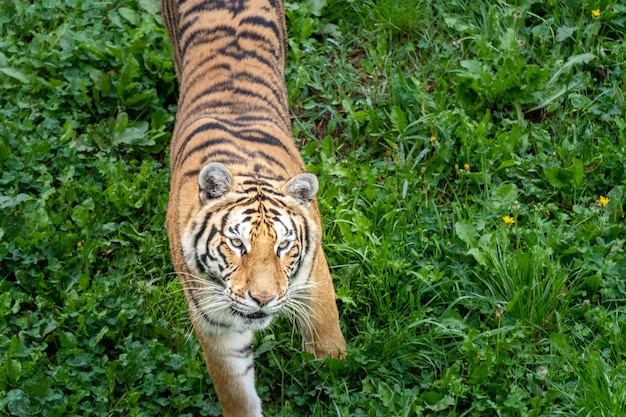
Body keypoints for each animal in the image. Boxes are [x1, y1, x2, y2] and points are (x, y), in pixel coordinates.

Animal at [160, 0, 346, 414]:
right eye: (237, 244)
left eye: (283, 246)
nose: (262, 300)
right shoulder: (214, 321)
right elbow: (236, 392)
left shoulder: (314, 273)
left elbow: (326, 331)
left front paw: (334, 367)